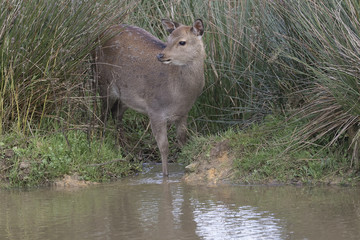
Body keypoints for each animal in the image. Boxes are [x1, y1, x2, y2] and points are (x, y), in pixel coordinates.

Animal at [92, 19, 205, 176]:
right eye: (168, 39)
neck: (179, 95)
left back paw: (125, 152)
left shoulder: (183, 114)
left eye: (182, 42)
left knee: (116, 114)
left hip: (126, 96)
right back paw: (101, 147)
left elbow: (183, 142)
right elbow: (164, 147)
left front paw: (186, 168)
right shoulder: (155, 110)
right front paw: (165, 175)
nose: (160, 55)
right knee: (102, 116)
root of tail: (99, 34)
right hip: (103, 82)